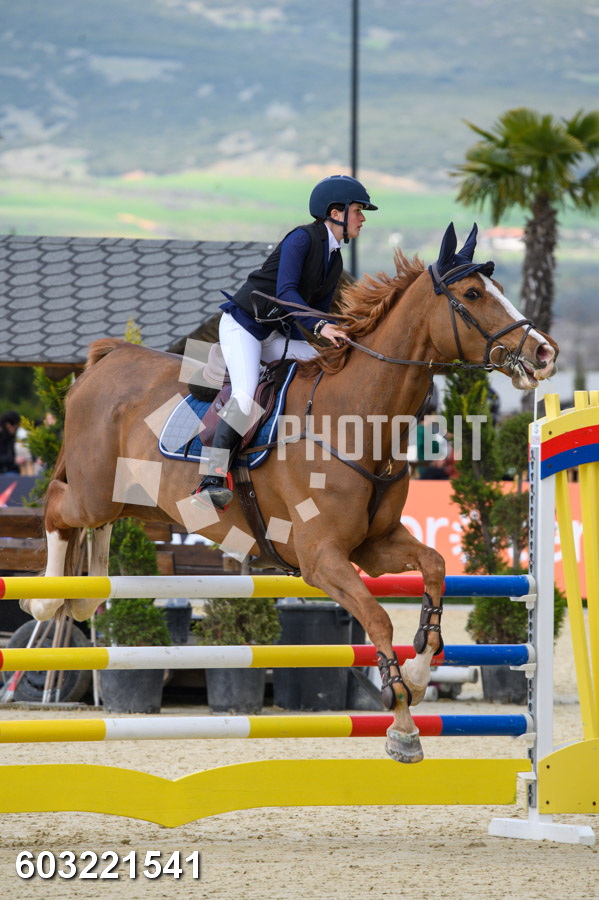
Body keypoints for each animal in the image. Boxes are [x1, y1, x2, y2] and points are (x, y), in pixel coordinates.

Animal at [22, 224, 558, 763]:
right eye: (472, 294)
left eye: (499, 289)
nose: (544, 353)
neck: (358, 421)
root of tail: (108, 358)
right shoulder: (321, 558)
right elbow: (378, 619)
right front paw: (403, 723)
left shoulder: (373, 546)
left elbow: (434, 567)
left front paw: (420, 671)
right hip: (93, 490)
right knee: (57, 507)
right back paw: (47, 602)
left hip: (127, 496)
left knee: (97, 526)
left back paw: (85, 598)